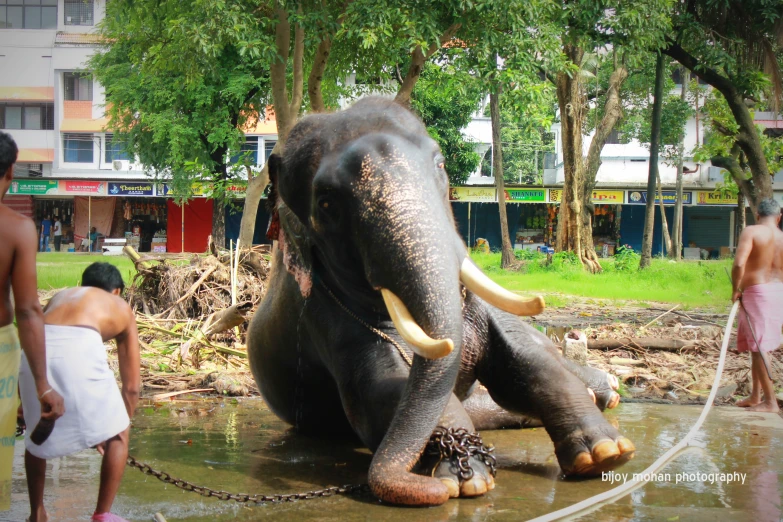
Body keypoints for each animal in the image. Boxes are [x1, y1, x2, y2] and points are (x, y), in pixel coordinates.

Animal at [248, 96, 632, 504]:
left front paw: (605, 454)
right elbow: (382, 389)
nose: (425, 485)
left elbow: (524, 356)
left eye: (440, 164)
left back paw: (604, 390)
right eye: (325, 203)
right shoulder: (327, 319)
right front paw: (465, 477)